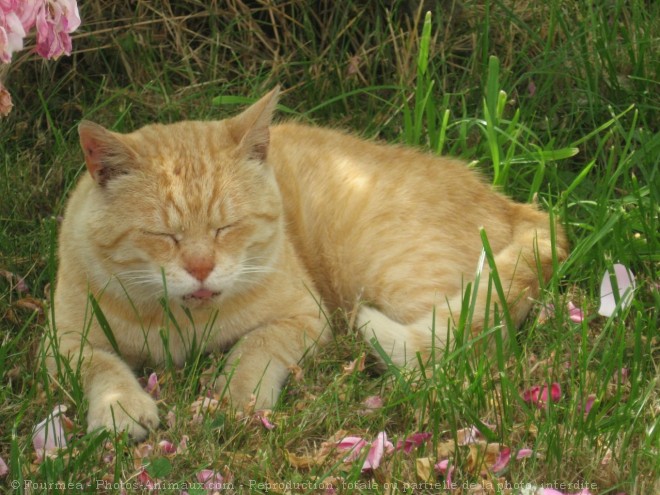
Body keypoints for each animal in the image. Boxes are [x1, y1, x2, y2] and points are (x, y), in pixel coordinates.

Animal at [49, 87, 568, 440]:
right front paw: (120, 408)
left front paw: (235, 396)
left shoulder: (305, 318)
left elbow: (255, 347)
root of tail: (519, 207)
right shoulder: (63, 346)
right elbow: (104, 367)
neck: (183, 327)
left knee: (463, 355)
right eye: (164, 236)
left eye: (226, 227)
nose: (200, 268)